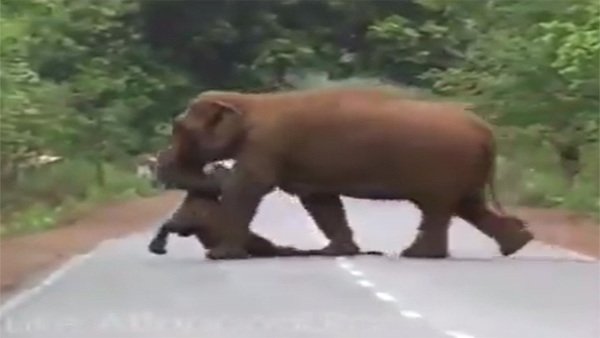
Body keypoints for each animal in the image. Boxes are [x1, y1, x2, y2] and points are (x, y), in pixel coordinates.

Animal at [148, 147, 382, 258]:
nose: (218, 166)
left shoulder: (191, 220)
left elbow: (169, 225)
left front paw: (157, 246)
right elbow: (168, 224)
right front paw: (157, 245)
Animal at [172, 86, 536, 260]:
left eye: (178, 128)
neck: (249, 102)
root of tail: (487, 132)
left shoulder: (265, 145)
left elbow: (247, 188)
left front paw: (219, 257)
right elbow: (319, 199)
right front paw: (339, 252)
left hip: (444, 166)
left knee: (438, 207)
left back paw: (419, 255)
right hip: (462, 168)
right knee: (467, 205)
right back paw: (516, 245)